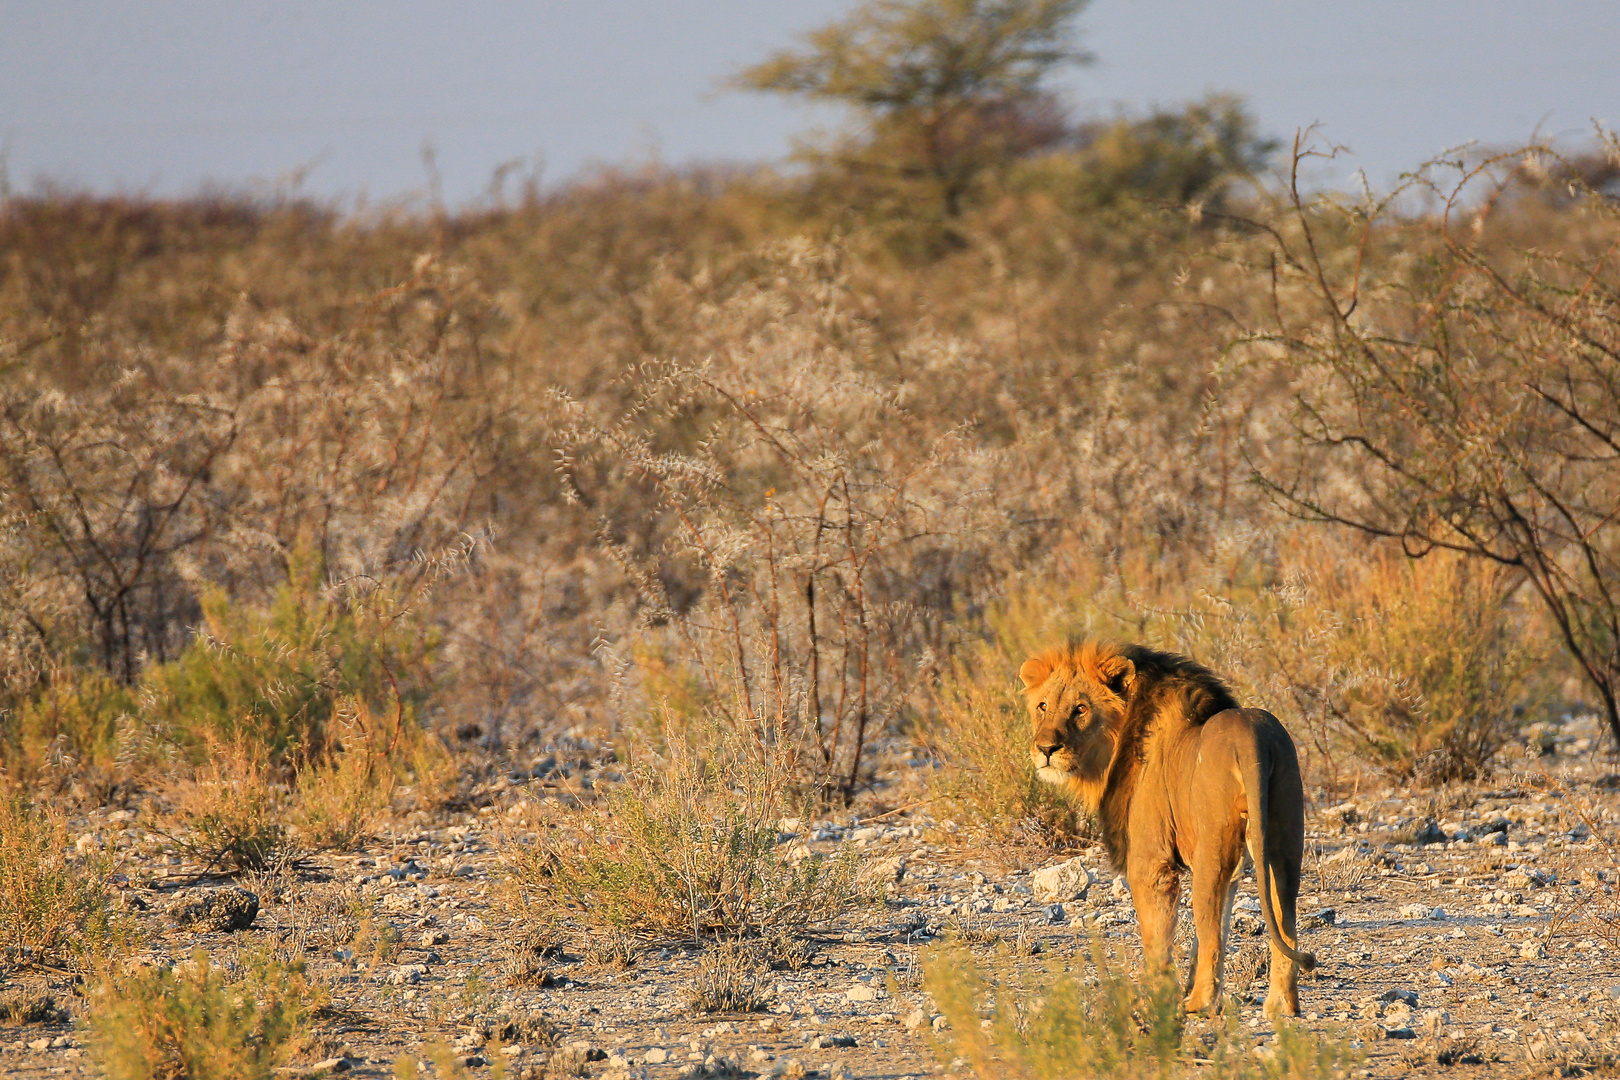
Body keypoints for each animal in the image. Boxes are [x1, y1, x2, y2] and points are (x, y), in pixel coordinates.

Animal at [1023, 641, 1315, 1023]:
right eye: (1043, 706)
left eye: (1080, 709)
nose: (1045, 749)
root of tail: (1254, 739)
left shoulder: (1151, 864)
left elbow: (1157, 937)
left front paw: (1156, 998)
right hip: (1284, 844)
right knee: (1284, 923)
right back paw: (1281, 1006)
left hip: (1211, 852)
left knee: (1210, 929)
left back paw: (1200, 1004)